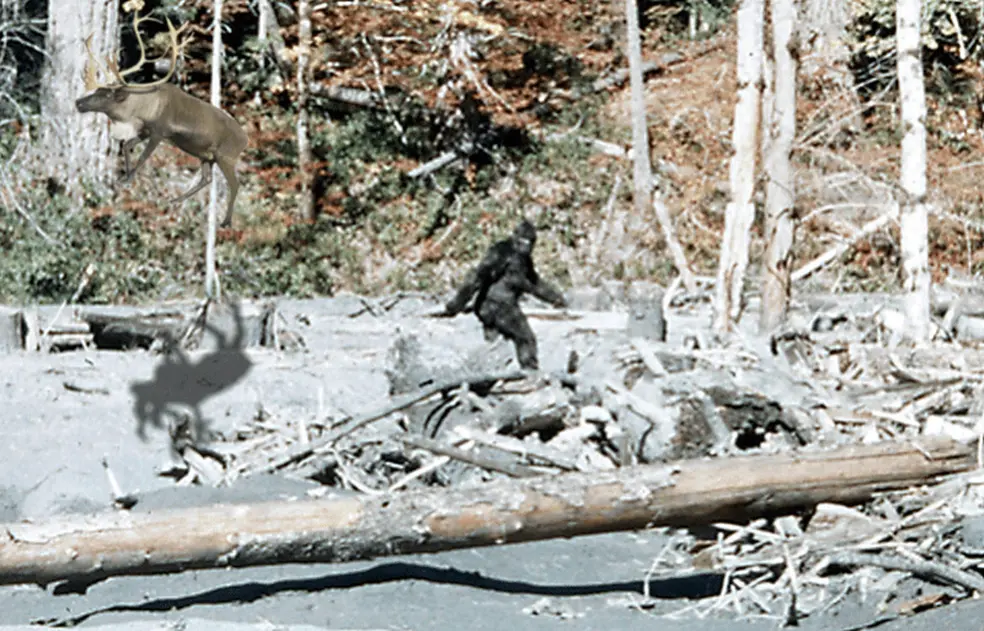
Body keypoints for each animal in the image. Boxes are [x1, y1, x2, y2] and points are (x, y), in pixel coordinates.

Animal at [75, 8, 249, 228]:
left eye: (106, 95)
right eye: (98, 90)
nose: (78, 103)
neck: (142, 110)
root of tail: (246, 140)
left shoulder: (159, 132)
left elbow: (143, 156)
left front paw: (128, 178)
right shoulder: (145, 130)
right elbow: (126, 146)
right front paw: (124, 178)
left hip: (226, 156)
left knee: (235, 183)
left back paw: (225, 221)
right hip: (206, 156)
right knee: (206, 179)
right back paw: (175, 200)